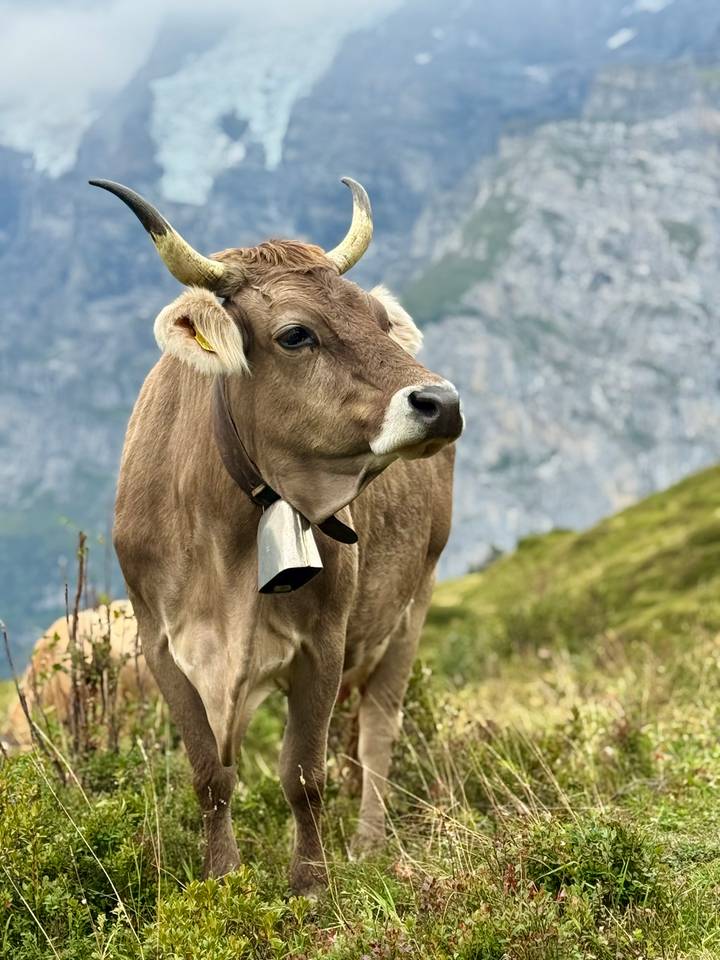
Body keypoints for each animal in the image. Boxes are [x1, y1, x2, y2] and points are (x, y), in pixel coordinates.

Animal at [90, 176, 463, 894]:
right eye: (296, 335)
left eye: (376, 320)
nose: (442, 403)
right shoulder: (161, 645)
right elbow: (210, 775)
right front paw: (222, 880)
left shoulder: (324, 639)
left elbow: (302, 776)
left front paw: (311, 886)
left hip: (412, 604)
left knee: (378, 729)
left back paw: (367, 844)